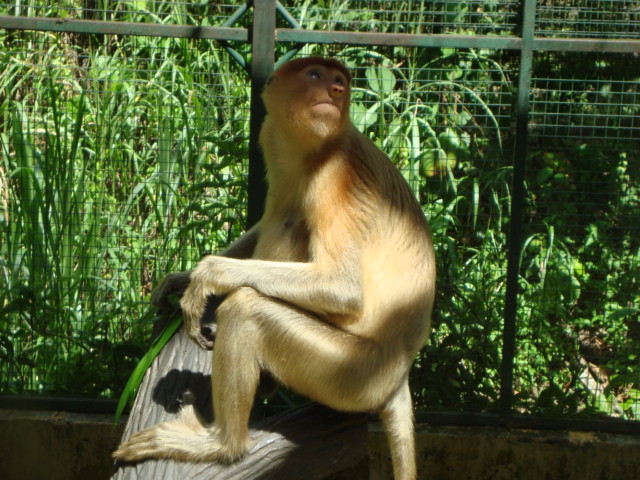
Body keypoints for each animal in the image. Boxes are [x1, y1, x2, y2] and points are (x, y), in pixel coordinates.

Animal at [114, 57, 436, 480]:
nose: (336, 92)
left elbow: (343, 288)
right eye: (316, 75)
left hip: (353, 374)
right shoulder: (274, 143)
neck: (315, 149)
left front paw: (207, 275)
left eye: (339, 80)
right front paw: (180, 279)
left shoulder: (338, 177)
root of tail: (399, 374)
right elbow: (267, 219)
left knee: (248, 308)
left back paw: (224, 445)